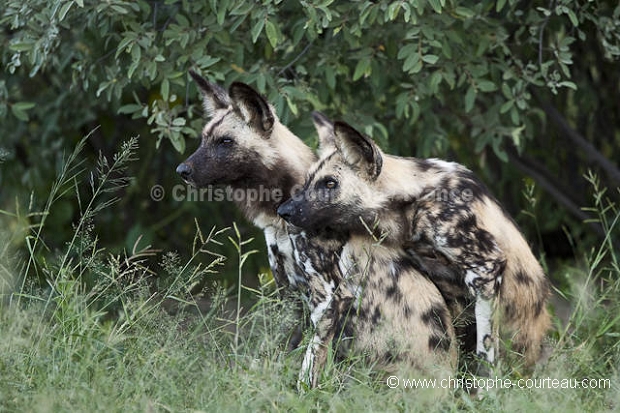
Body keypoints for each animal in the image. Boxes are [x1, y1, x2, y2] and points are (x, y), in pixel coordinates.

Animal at [278, 114, 548, 368]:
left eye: (330, 183)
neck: (412, 201)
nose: (284, 211)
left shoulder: (485, 270)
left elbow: (486, 353)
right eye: (308, 181)